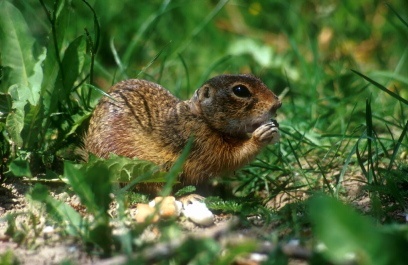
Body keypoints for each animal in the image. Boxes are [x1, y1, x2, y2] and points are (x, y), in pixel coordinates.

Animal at [85, 74, 282, 189]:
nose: (278, 103)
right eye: (240, 90)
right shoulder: (202, 143)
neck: (200, 117)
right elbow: (231, 156)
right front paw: (261, 135)